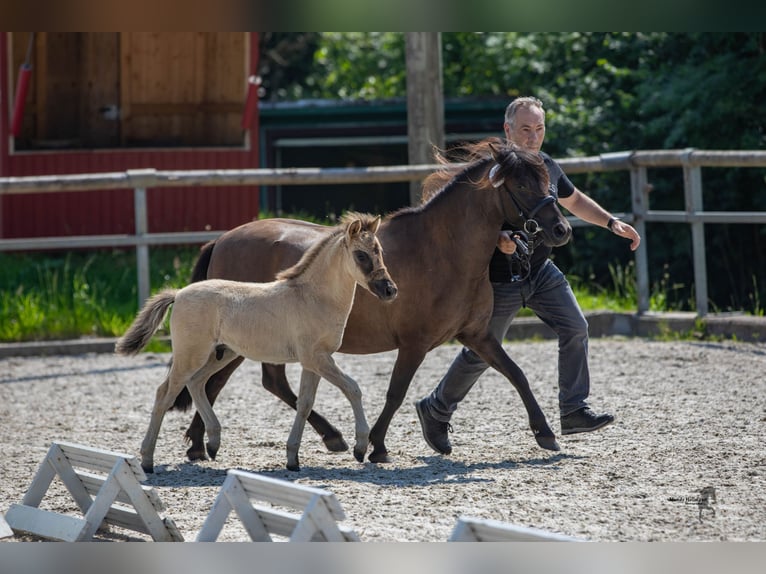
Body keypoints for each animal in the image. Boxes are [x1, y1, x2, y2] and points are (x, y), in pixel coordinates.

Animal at [118, 214, 402, 474]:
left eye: (380, 251)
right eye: (361, 255)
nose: (389, 290)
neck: (313, 297)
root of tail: (178, 294)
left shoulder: (313, 362)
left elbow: (305, 403)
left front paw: (293, 459)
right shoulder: (317, 358)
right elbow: (353, 388)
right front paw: (360, 448)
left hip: (222, 354)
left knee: (197, 383)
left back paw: (213, 442)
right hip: (192, 354)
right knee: (164, 394)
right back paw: (147, 460)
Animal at [172, 142, 568, 466]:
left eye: (548, 182)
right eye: (522, 186)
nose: (561, 229)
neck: (443, 251)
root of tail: (222, 239)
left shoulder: (477, 335)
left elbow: (515, 373)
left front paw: (546, 434)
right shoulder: (414, 343)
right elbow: (395, 392)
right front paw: (376, 446)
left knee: (252, 382)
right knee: (220, 382)